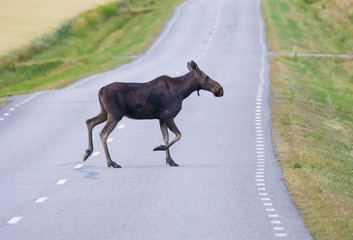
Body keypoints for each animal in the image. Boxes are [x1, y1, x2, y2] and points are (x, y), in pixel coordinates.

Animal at [82, 61, 223, 168]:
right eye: (206, 76)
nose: (220, 89)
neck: (183, 92)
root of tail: (101, 91)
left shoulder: (161, 118)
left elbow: (166, 137)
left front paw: (170, 160)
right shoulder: (168, 116)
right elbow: (178, 135)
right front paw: (159, 147)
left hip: (105, 112)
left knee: (89, 121)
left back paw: (87, 152)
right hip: (115, 114)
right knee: (103, 133)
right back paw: (111, 162)